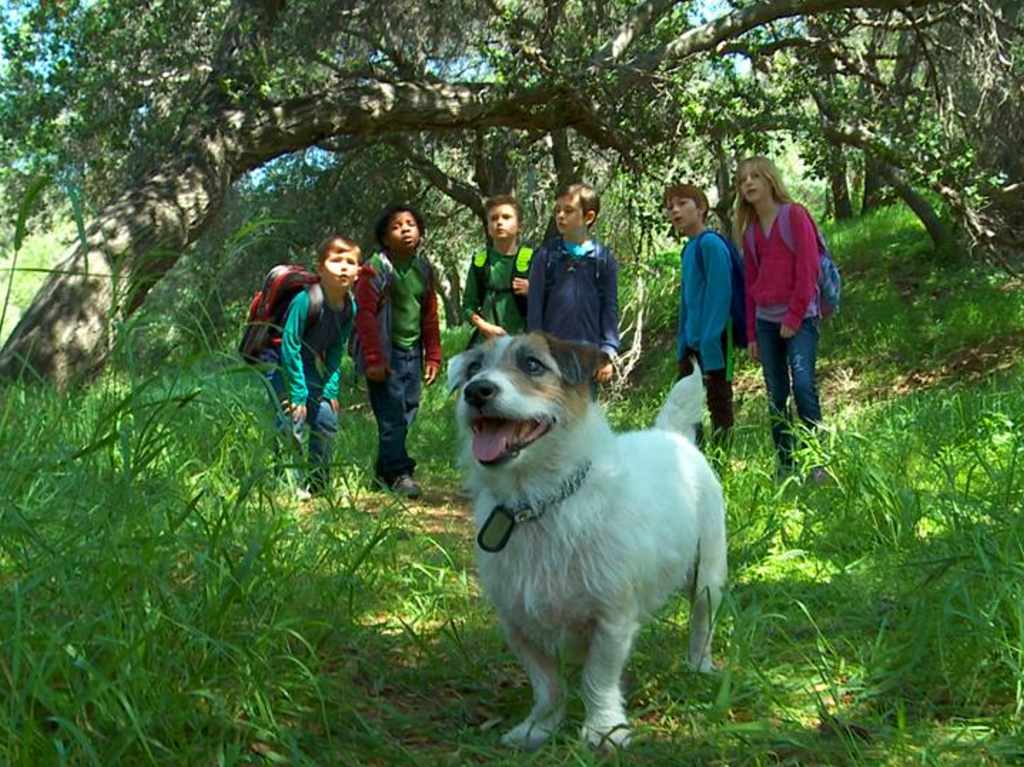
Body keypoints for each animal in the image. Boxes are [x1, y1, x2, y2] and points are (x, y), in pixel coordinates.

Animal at [448, 333, 729, 749]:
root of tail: (672, 435)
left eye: (533, 365)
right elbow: (547, 686)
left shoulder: (610, 621)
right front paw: (539, 728)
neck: (538, 503)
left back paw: (699, 665)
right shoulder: (519, 626)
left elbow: (597, 679)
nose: (476, 390)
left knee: (701, 621)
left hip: (708, 578)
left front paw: (603, 729)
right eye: (472, 368)